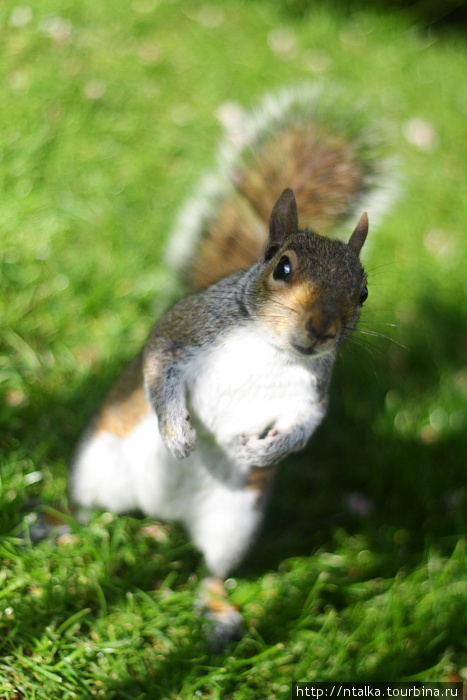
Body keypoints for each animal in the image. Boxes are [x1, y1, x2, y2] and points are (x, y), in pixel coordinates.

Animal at [69, 85, 392, 644]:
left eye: (364, 293)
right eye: (282, 267)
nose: (322, 328)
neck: (268, 346)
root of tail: (160, 512)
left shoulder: (310, 395)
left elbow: (305, 426)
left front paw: (263, 451)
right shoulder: (180, 333)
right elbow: (159, 374)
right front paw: (178, 434)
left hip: (234, 523)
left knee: (213, 571)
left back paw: (218, 612)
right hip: (95, 464)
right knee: (82, 506)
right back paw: (52, 525)